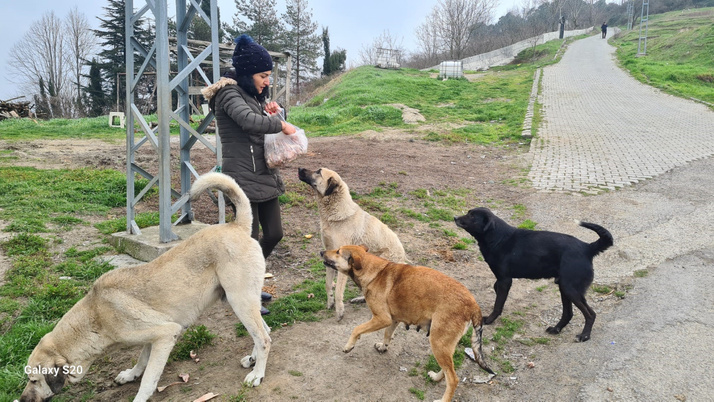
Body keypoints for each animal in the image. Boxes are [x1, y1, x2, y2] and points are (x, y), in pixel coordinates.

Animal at [19, 173, 272, 402]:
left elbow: (149, 380)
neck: (95, 315)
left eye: (34, 380)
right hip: (238, 301)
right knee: (265, 330)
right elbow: (141, 359)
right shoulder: (152, 337)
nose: (22, 400)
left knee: (264, 338)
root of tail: (237, 226)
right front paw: (131, 374)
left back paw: (257, 374)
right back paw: (252, 360)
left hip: (240, 301)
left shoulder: (166, 334)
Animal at [296, 167, 406, 320]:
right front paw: (330, 302)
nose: (299, 168)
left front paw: (339, 310)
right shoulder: (328, 254)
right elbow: (328, 284)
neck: (334, 216)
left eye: (318, 172)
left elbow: (338, 290)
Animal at [322, 245, 492, 402]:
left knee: (453, 378)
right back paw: (436, 377)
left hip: (438, 343)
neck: (374, 272)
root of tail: (473, 304)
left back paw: (443, 399)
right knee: (448, 369)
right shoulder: (393, 319)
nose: (321, 252)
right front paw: (383, 347)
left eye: (338, 251)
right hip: (444, 346)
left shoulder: (381, 318)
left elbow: (357, 329)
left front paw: (349, 345)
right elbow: (387, 334)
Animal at [456, 207, 612, 342]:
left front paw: (490, 319)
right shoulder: (502, 280)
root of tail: (588, 248)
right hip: (564, 287)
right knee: (569, 313)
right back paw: (556, 329)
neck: (498, 237)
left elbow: (498, 304)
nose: (455, 217)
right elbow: (496, 290)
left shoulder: (505, 280)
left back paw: (585, 335)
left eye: (472, 216)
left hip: (570, 289)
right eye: (468, 212)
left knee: (590, 314)